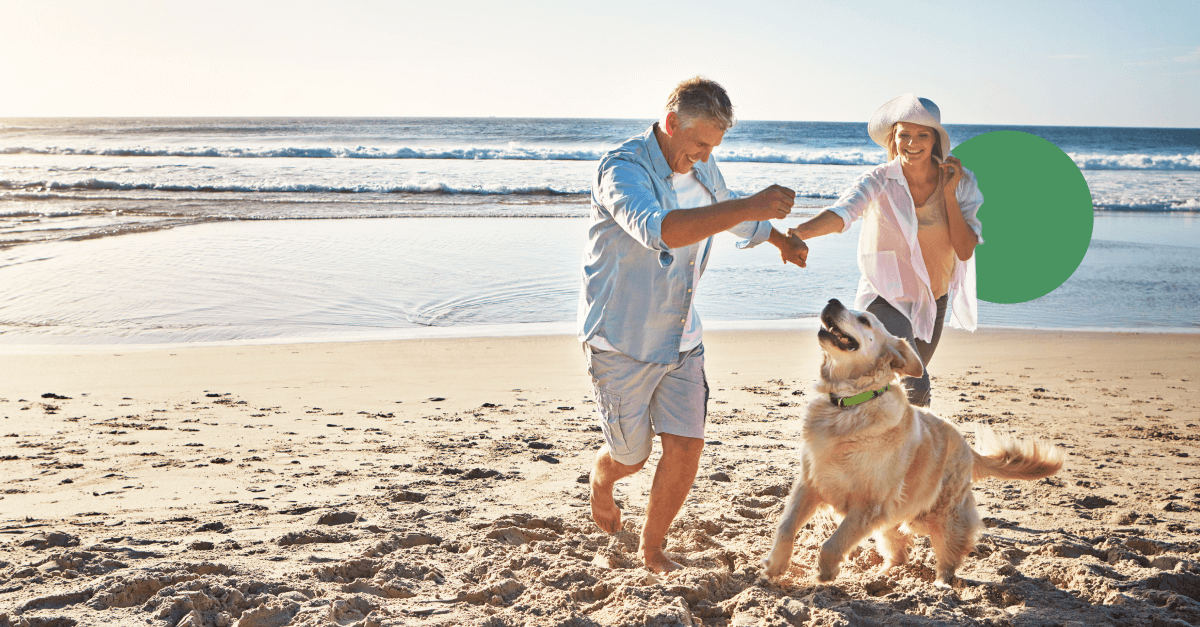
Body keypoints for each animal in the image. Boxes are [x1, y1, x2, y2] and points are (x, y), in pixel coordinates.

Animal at [763, 297, 1065, 586]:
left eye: (865, 320)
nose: (832, 302)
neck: (848, 405)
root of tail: (967, 447)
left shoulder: (868, 504)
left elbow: (833, 542)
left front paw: (825, 572)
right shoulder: (811, 483)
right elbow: (786, 526)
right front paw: (776, 565)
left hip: (939, 514)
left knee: (949, 555)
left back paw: (942, 585)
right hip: (895, 517)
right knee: (899, 553)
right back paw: (882, 576)